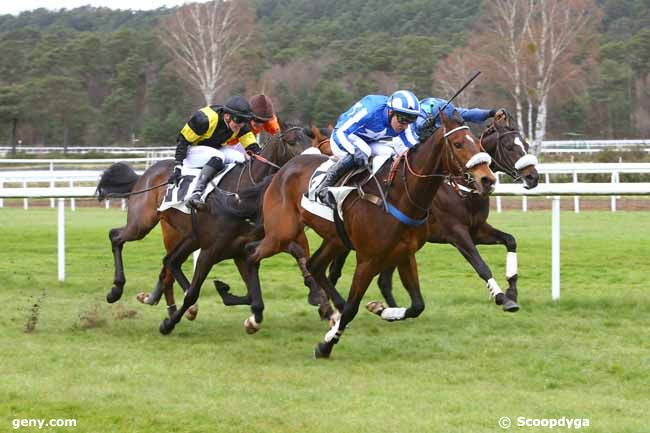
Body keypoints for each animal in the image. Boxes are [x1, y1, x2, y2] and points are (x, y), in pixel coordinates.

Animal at [93, 118, 312, 318]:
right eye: (292, 141)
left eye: (311, 139)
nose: (308, 163)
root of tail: (144, 175)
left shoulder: (246, 245)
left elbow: (256, 286)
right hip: (142, 223)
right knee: (116, 236)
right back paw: (116, 290)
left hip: (183, 234)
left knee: (168, 265)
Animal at [244, 112, 496, 358]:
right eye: (458, 144)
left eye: (479, 142)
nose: (488, 180)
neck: (399, 195)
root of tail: (283, 169)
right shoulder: (368, 259)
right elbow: (352, 308)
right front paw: (325, 347)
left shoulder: (405, 254)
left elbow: (417, 306)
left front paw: (381, 309)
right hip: (282, 233)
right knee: (251, 255)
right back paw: (255, 316)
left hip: (335, 240)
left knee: (313, 265)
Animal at [326, 113, 540, 312]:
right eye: (510, 147)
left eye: (526, 145)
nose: (533, 177)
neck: (460, 189)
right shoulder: (456, 232)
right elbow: (480, 265)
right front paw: (502, 297)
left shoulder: (477, 229)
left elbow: (510, 240)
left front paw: (512, 291)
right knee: (335, 272)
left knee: (382, 281)